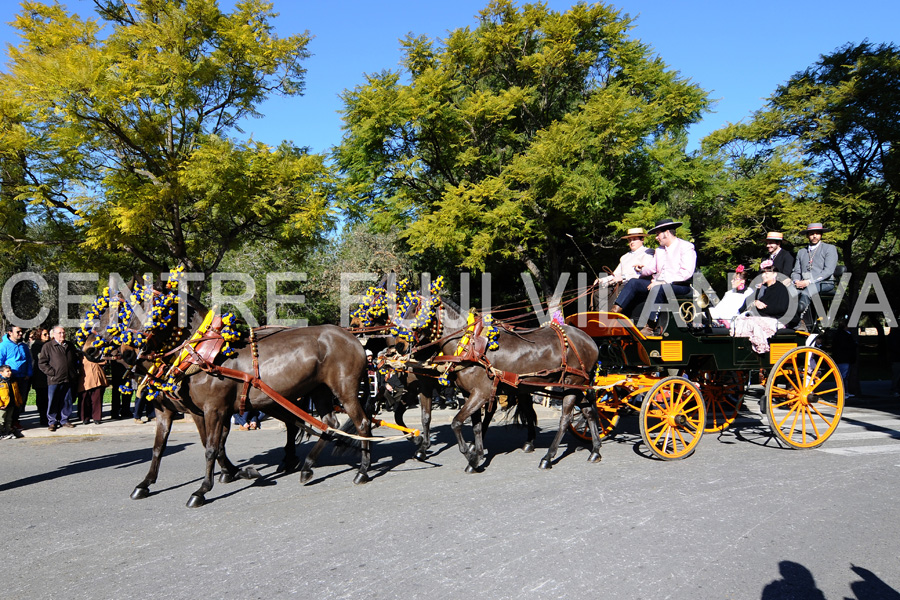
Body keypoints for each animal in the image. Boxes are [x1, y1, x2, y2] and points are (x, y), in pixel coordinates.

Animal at [78, 286, 372, 506]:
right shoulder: (176, 410)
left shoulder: (214, 409)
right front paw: (146, 483)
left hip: (344, 389)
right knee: (327, 424)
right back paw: (306, 465)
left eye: (123, 313)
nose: (89, 349)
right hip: (316, 391)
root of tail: (353, 338)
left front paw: (203, 489)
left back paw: (362, 471)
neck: (200, 355)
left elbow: (211, 447)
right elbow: (162, 448)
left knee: (361, 424)